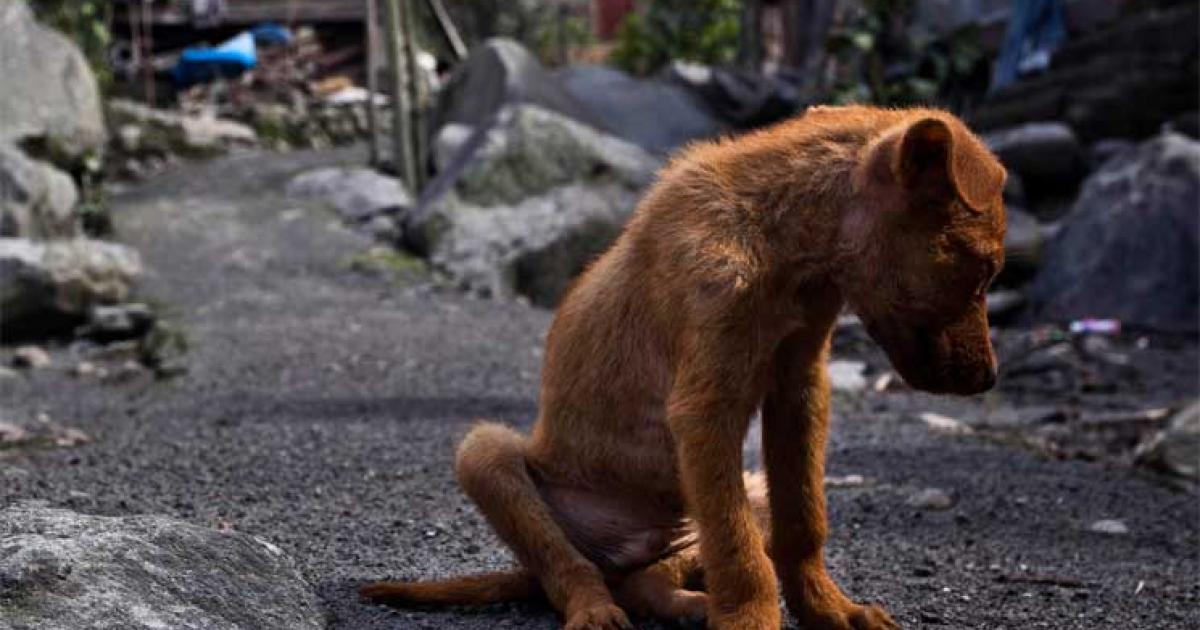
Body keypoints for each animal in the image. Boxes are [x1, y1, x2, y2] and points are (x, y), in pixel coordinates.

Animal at [360, 105, 1008, 624]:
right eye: (983, 270)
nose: (991, 380)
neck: (779, 236)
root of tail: (624, 551)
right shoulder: (704, 408)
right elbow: (742, 556)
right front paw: (752, 623)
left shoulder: (800, 390)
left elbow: (800, 525)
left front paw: (829, 610)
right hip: (487, 456)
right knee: (568, 569)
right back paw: (596, 610)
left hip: (740, 494)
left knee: (653, 579)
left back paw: (687, 604)